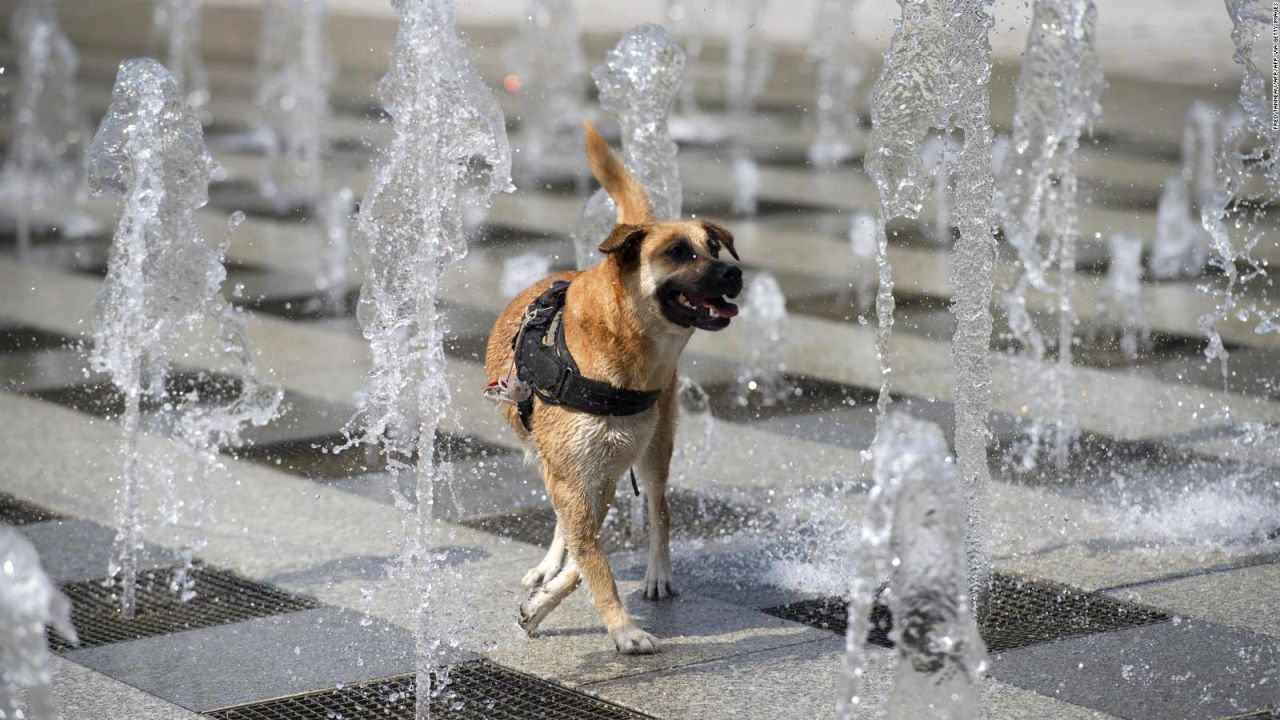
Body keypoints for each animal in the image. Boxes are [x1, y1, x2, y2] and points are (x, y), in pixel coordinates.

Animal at [481, 121, 747, 650]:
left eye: (714, 248)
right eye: (677, 252)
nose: (735, 272)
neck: (623, 354)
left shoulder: (607, 468)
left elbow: (591, 557)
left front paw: (557, 609)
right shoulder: (579, 470)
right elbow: (589, 555)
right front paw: (618, 626)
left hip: (656, 448)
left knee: (660, 511)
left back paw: (657, 575)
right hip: (554, 460)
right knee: (565, 521)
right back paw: (550, 565)